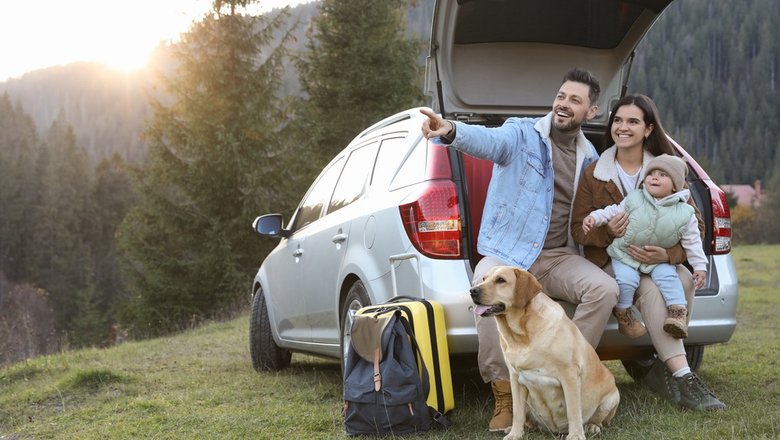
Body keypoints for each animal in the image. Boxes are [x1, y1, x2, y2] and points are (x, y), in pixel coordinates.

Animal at [470, 264, 620, 440]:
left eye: (501, 280)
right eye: (484, 278)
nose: (472, 291)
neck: (522, 335)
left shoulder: (569, 375)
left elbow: (573, 411)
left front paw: (576, 435)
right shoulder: (515, 378)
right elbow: (518, 412)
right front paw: (515, 434)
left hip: (612, 398)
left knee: (598, 420)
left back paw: (591, 426)